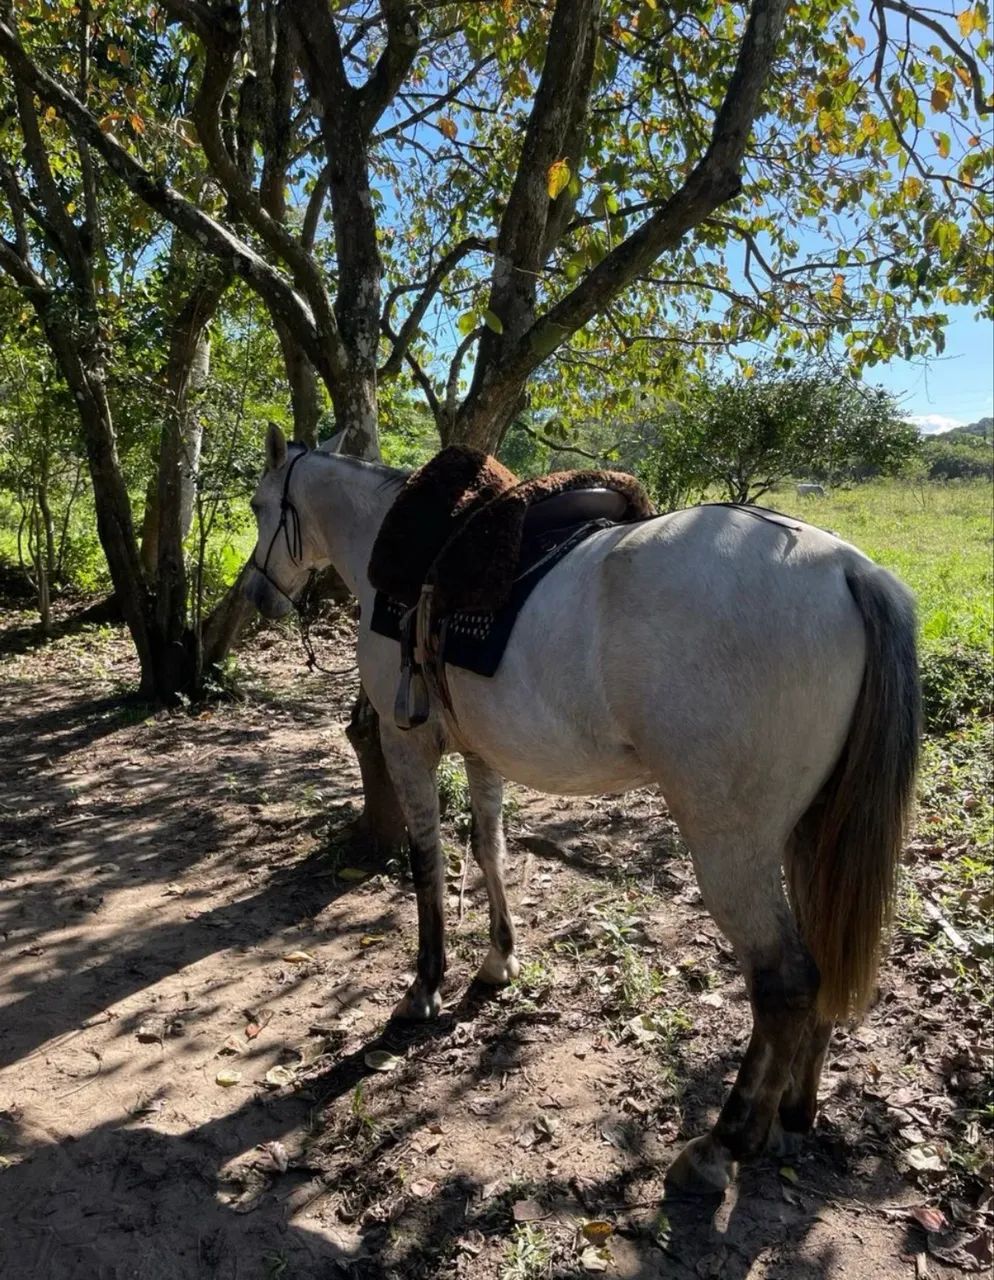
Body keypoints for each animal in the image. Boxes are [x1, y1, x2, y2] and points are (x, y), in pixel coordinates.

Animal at [245, 424, 920, 1195]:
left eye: (262, 506)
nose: (257, 594)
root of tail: (849, 571)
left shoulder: (404, 742)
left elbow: (427, 864)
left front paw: (425, 986)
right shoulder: (482, 753)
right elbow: (490, 849)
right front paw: (498, 961)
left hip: (732, 847)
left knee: (785, 982)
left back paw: (723, 1144)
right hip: (814, 834)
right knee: (824, 956)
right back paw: (794, 1112)